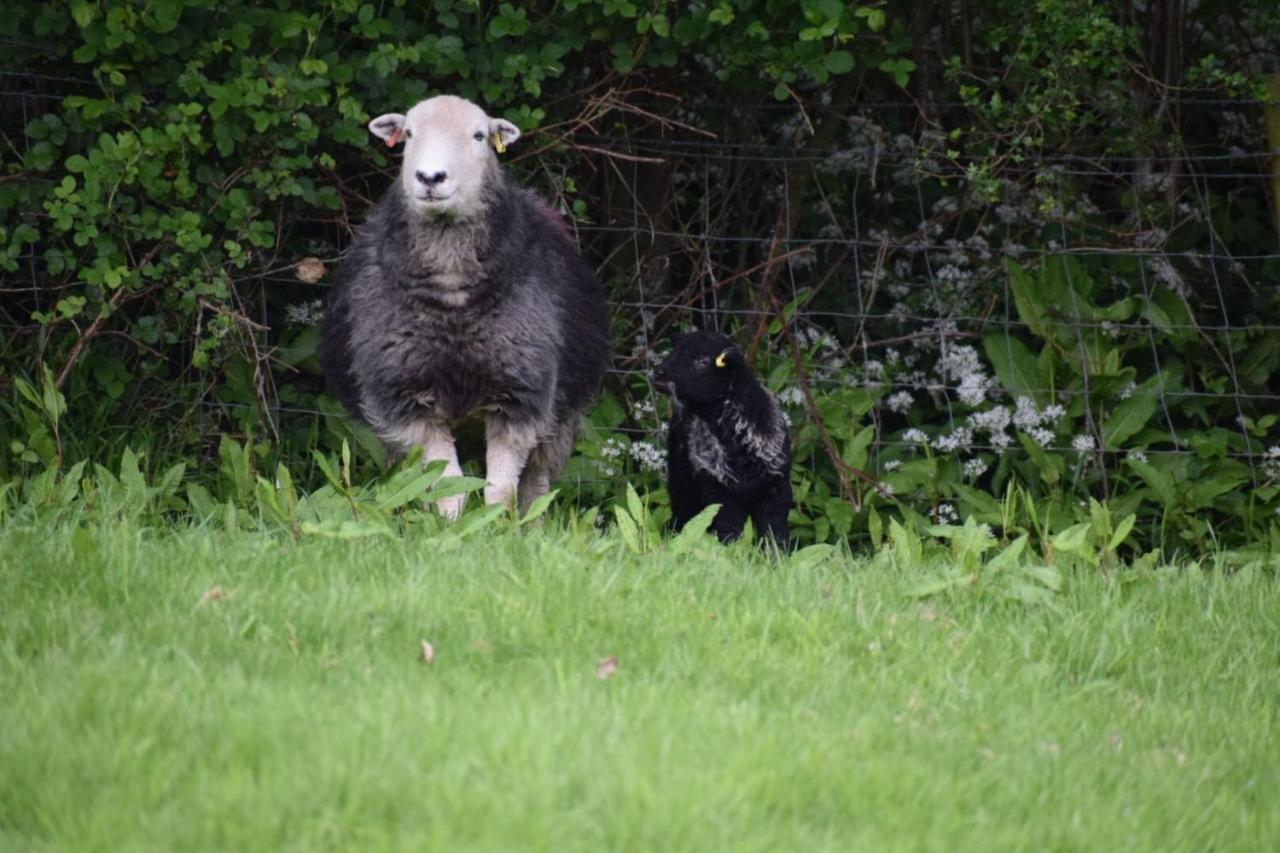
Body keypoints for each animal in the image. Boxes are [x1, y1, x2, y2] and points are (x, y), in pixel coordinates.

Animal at [320, 96, 609, 514]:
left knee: (536, 485)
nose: (430, 177)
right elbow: (447, 486)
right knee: (400, 475)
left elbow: (500, 490)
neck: (452, 295)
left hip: (562, 416)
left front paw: (495, 525)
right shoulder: (406, 402)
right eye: (408, 134)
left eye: (479, 136)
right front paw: (452, 525)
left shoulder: (520, 398)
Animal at [660, 327, 788, 540]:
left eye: (702, 360)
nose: (658, 374)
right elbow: (728, 527)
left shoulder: (776, 489)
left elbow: (774, 530)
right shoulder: (717, 490)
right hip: (681, 476)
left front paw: (777, 550)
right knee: (683, 510)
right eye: (673, 351)